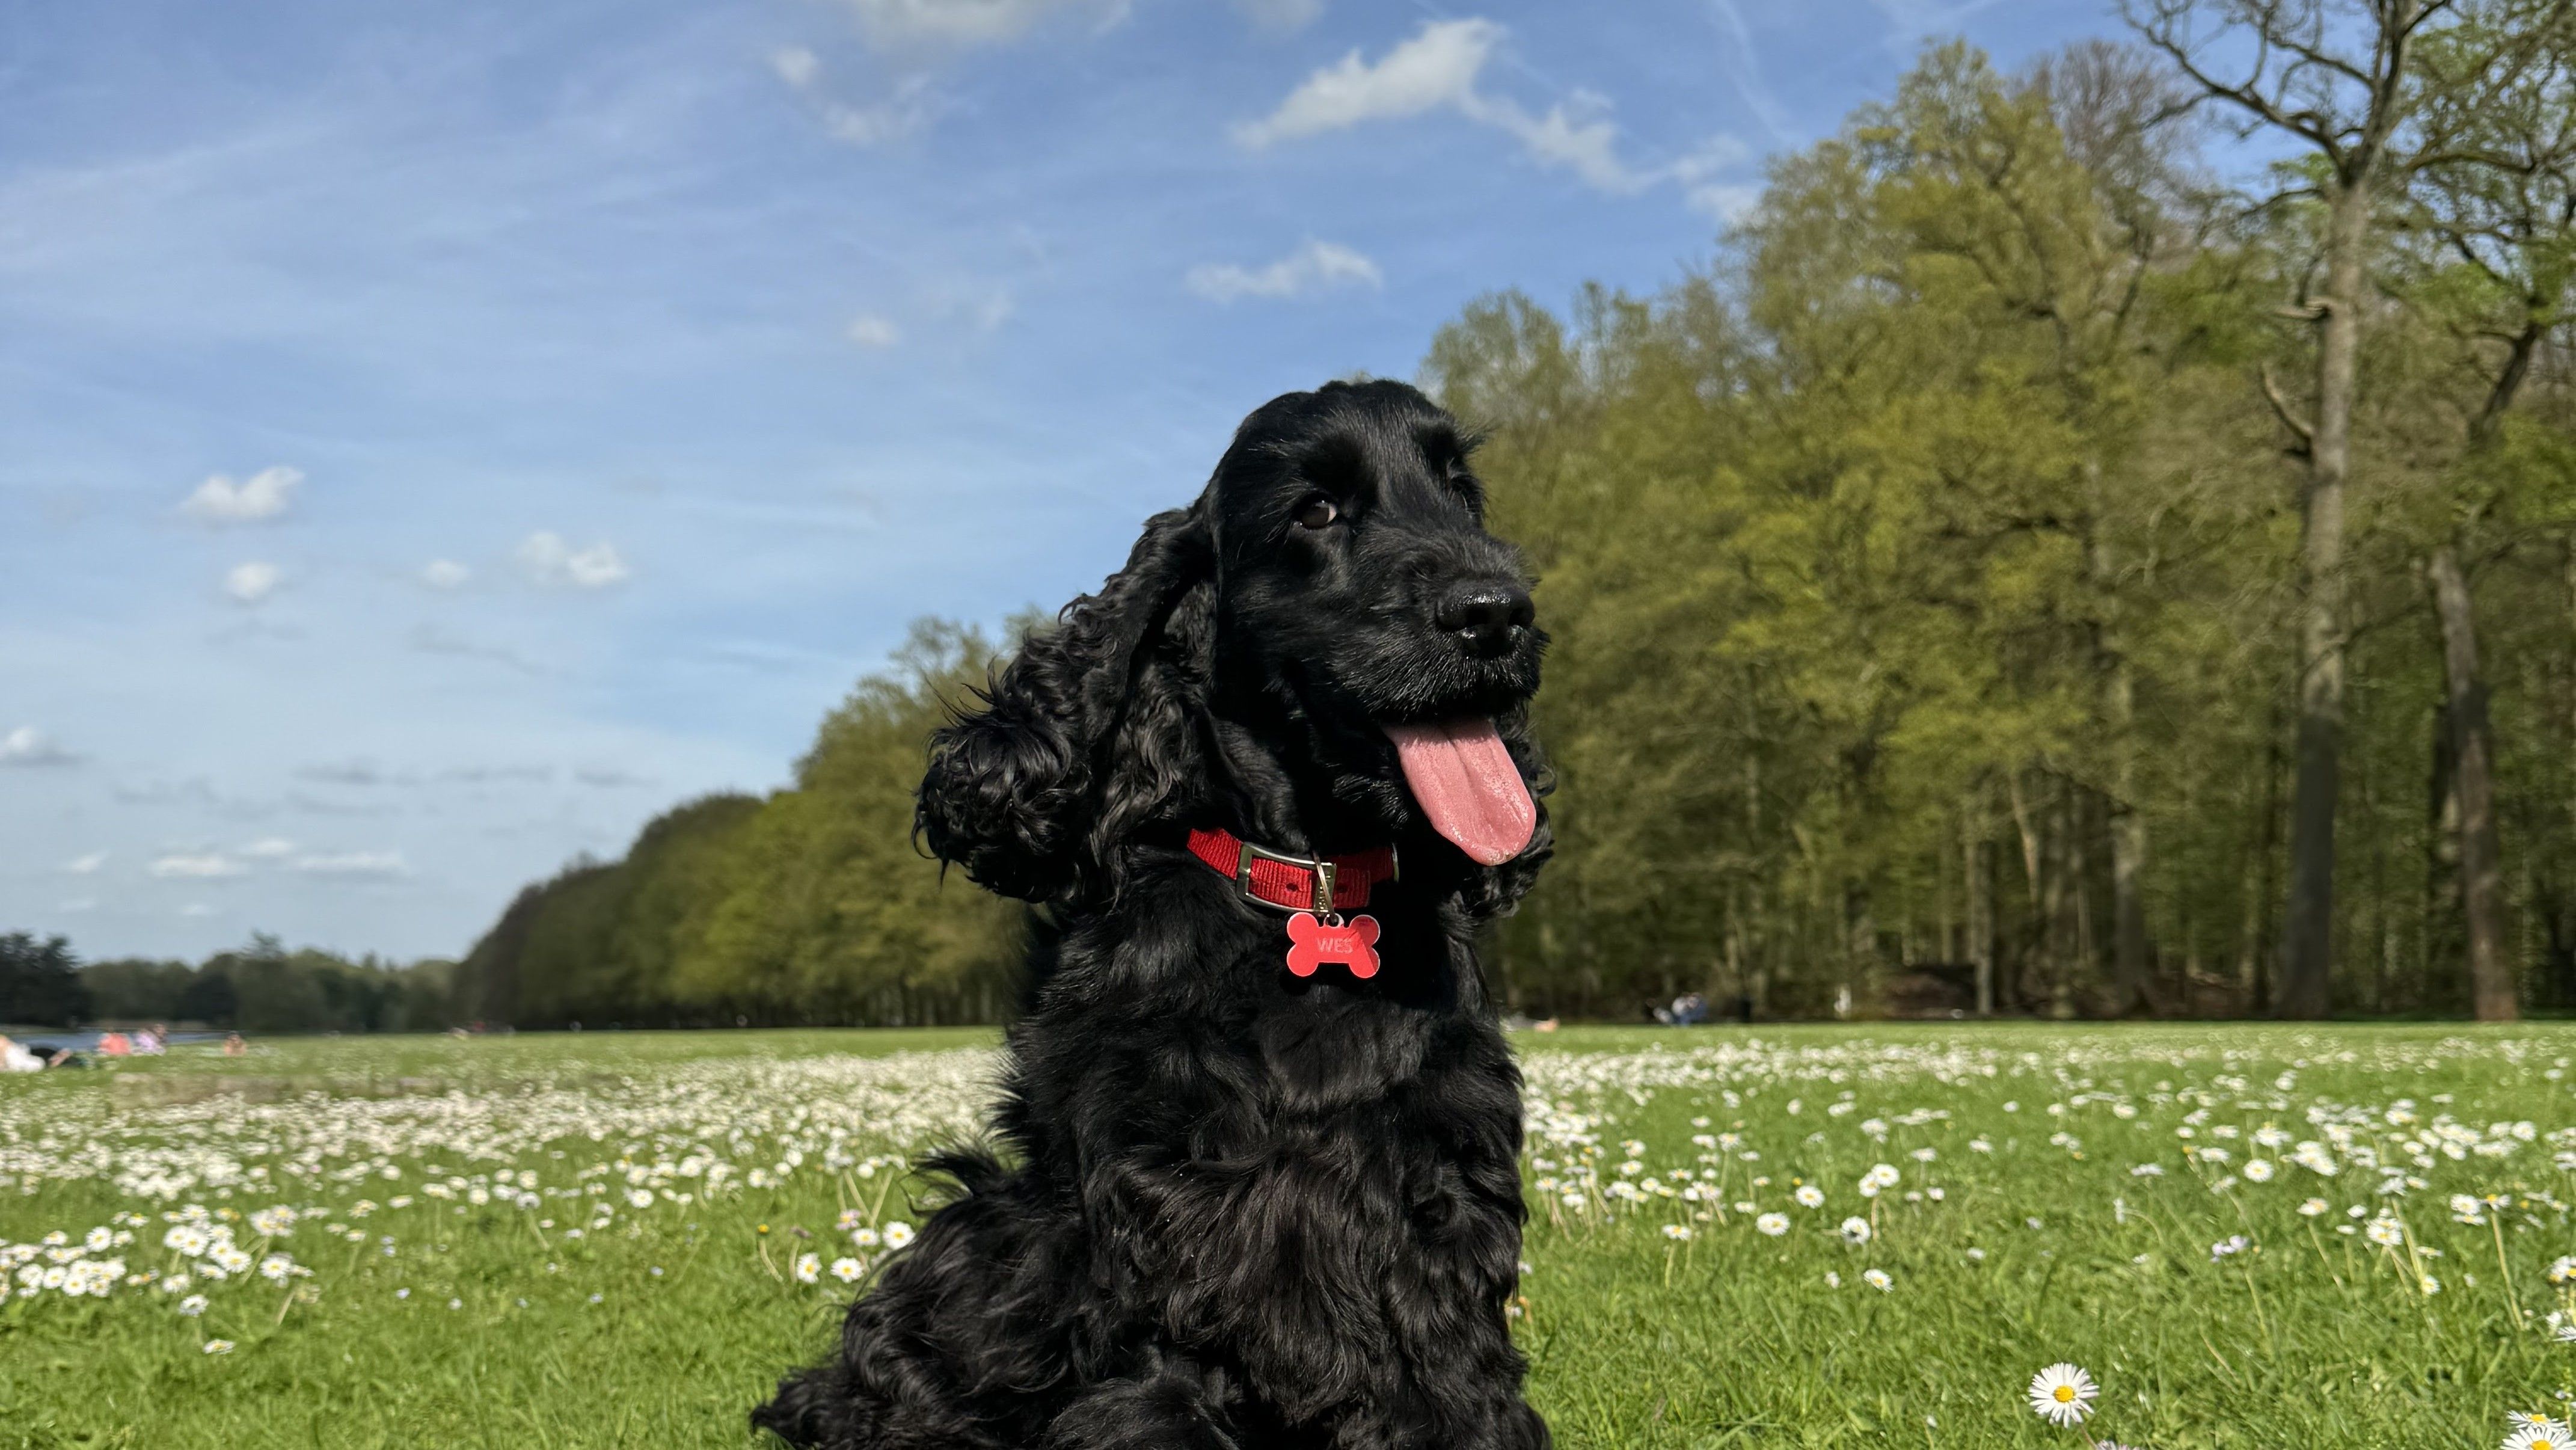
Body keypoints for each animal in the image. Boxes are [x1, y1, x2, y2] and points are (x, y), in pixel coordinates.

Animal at [755, 379, 1553, 1450]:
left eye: (1462, 494)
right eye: (1315, 511)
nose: (1498, 613)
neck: (1311, 888)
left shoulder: (1442, 1180)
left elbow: (1450, 1377)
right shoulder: (1162, 1198)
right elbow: (1163, 1368)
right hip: (986, 1228)